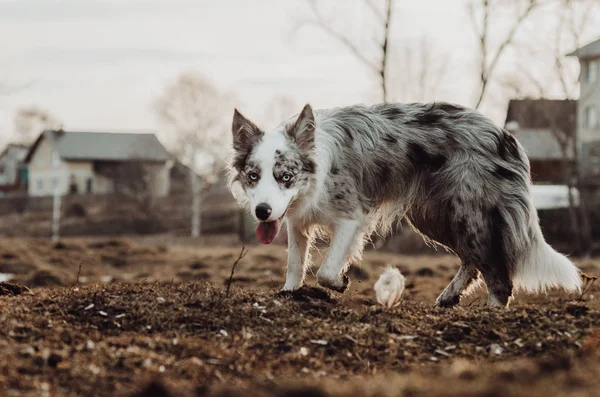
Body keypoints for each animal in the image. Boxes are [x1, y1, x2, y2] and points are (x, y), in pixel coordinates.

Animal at [227, 101, 584, 306]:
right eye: (253, 176)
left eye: (285, 176)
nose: (262, 211)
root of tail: (506, 136)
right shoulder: (295, 220)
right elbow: (295, 263)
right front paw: (290, 294)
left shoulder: (352, 217)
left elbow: (326, 270)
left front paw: (340, 282)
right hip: (433, 215)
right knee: (472, 259)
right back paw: (450, 296)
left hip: (466, 212)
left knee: (499, 276)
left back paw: (491, 316)